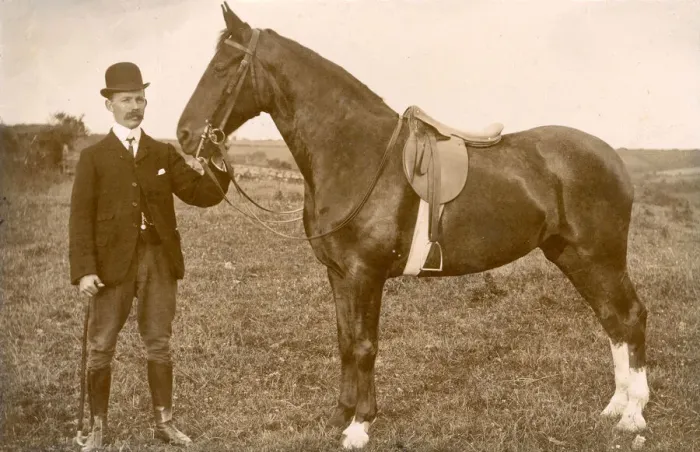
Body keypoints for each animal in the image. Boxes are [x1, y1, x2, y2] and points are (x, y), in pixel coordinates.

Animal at [176, 3, 649, 449]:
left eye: (222, 67)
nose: (183, 135)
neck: (356, 154)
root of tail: (612, 156)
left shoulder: (365, 275)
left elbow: (365, 345)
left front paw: (360, 426)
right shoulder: (339, 275)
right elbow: (345, 341)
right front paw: (339, 416)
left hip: (600, 256)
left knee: (630, 315)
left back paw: (633, 415)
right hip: (573, 256)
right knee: (612, 319)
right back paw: (614, 407)